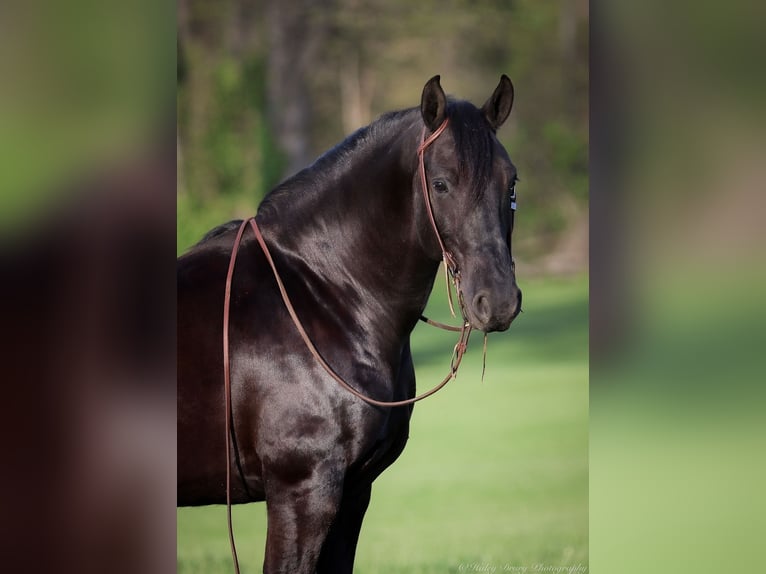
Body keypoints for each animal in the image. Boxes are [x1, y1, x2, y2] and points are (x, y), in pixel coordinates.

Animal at [178, 75, 520, 572]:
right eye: (440, 184)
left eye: (511, 183)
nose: (498, 301)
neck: (320, 294)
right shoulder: (301, 496)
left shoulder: (354, 493)